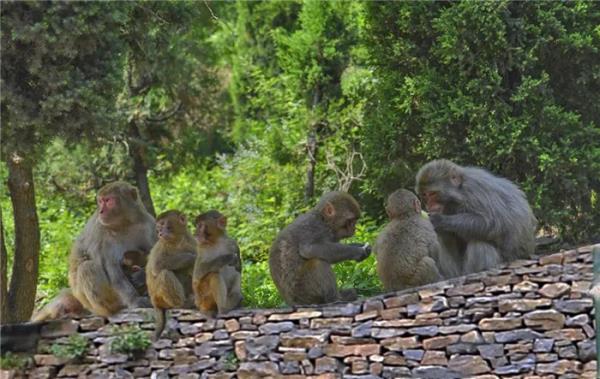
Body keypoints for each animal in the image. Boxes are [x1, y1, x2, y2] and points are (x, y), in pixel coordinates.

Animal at [68, 181, 157, 318]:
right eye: (100, 201)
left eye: (108, 200)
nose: (101, 211)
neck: (124, 223)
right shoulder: (100, 231)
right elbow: (112, 268)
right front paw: (135, 300)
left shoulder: (149, 223)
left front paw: (142, 275)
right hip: (97, 304)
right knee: (87, 267)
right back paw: (116, 308)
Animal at [146, 211, 196, 342]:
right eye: (159, 227)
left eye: (163, 224)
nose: (159, 232)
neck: (177, 240)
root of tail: (154, 302)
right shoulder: (161, 244)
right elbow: (157, 265)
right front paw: (192, 257)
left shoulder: (191, 241)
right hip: (159, 297)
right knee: (165, 273)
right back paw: (182, 304)